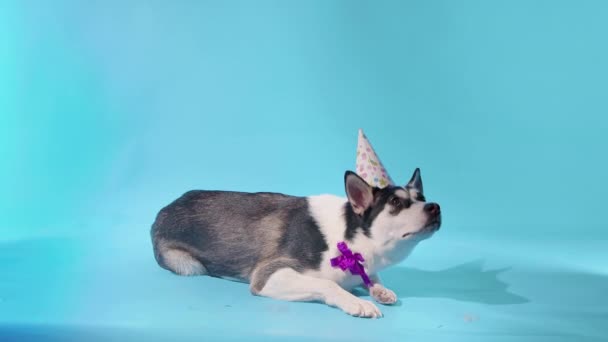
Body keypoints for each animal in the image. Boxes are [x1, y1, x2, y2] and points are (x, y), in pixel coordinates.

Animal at [149, 132, 440, 318]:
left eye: (422, 198)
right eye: (395, 202)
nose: (435, 206)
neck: (350, 241)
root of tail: (166, 208)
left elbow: (373, 279)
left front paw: (380, 290)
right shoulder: (269, 276)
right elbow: (328, 285)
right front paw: (357, 302)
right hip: (188, 265)